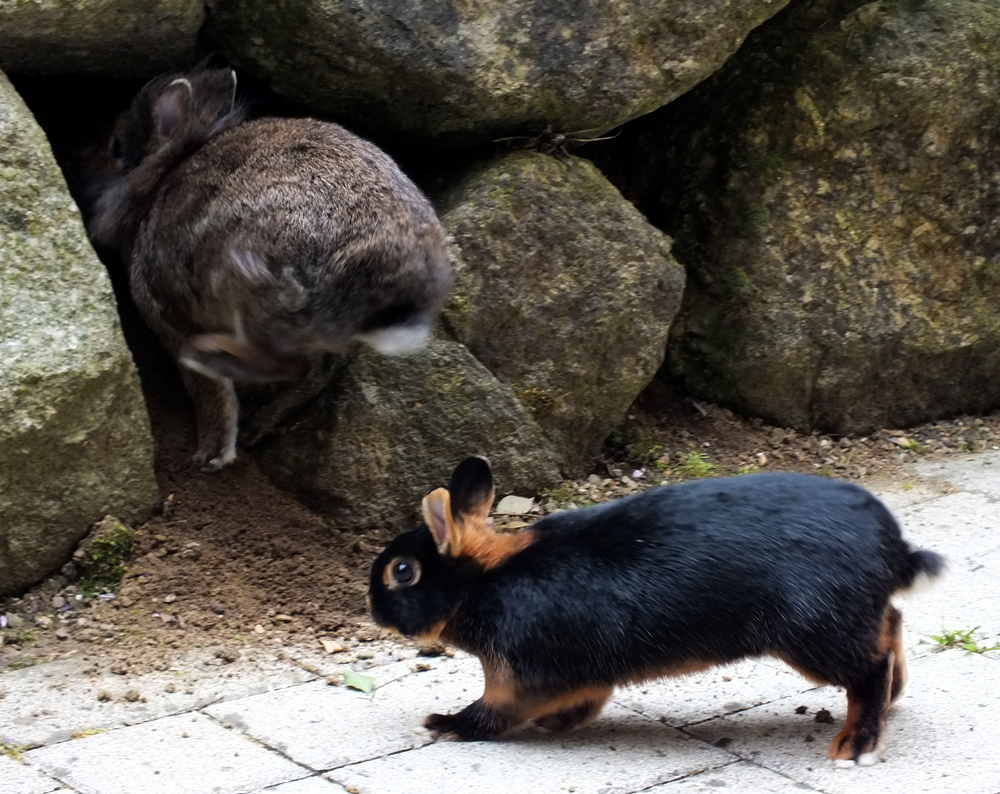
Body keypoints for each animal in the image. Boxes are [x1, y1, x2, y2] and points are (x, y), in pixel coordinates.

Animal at [80, 66, 452, 470]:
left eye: (116, 146)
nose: (81, 164)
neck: (157, 181)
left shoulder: (167, 318)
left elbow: (211, 396)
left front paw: (211, 455)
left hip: (247, 279)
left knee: (281, 364)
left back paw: (210, 357)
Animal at [370, 454, 944, 764]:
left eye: (402, 571)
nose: (374, 608)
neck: (481, 582)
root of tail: (893, 549)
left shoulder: (514, 678)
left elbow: (490, 714)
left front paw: (442, 724)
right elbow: (584, 700)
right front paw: (558, 723)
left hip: (813, 635)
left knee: (868, 670)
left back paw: (855, 746)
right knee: (890, 629)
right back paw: (893, 698)